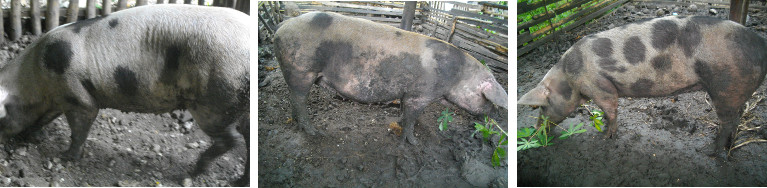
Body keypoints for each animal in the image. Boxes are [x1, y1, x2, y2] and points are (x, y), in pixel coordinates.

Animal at [0, 4, 252, 185]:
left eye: (1, 118)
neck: (35, 76)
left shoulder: (76, 95)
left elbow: (80, 126)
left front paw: (65, 157)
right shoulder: (58, 98)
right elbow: (44, 118)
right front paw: (31, 136)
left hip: (215, 99)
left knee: (231, 139)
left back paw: (187, 176)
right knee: (247, 138)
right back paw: (238, 181)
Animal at [272, 11, 508, 145]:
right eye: (487, 98)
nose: (497, 116)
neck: (457, 77)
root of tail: (282, 25)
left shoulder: (407, 93)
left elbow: (404, 111)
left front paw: (399, 122)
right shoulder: (420, 94)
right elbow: (412, 118)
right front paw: (412, 143)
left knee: (294, 100)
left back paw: (297, 125)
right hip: (301, 69)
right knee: (300, 100)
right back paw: (314, 133)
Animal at [516, 16, 767, 159]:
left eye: (542, 107)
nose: (536, 130)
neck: (569, 77)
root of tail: (761, 44)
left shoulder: (600, 86)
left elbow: (611, 110)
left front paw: (605, 138)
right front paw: (603, 130)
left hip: (726, 86)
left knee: (727, 121)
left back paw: (709, 152)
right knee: (737, 117)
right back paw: (727, 147)